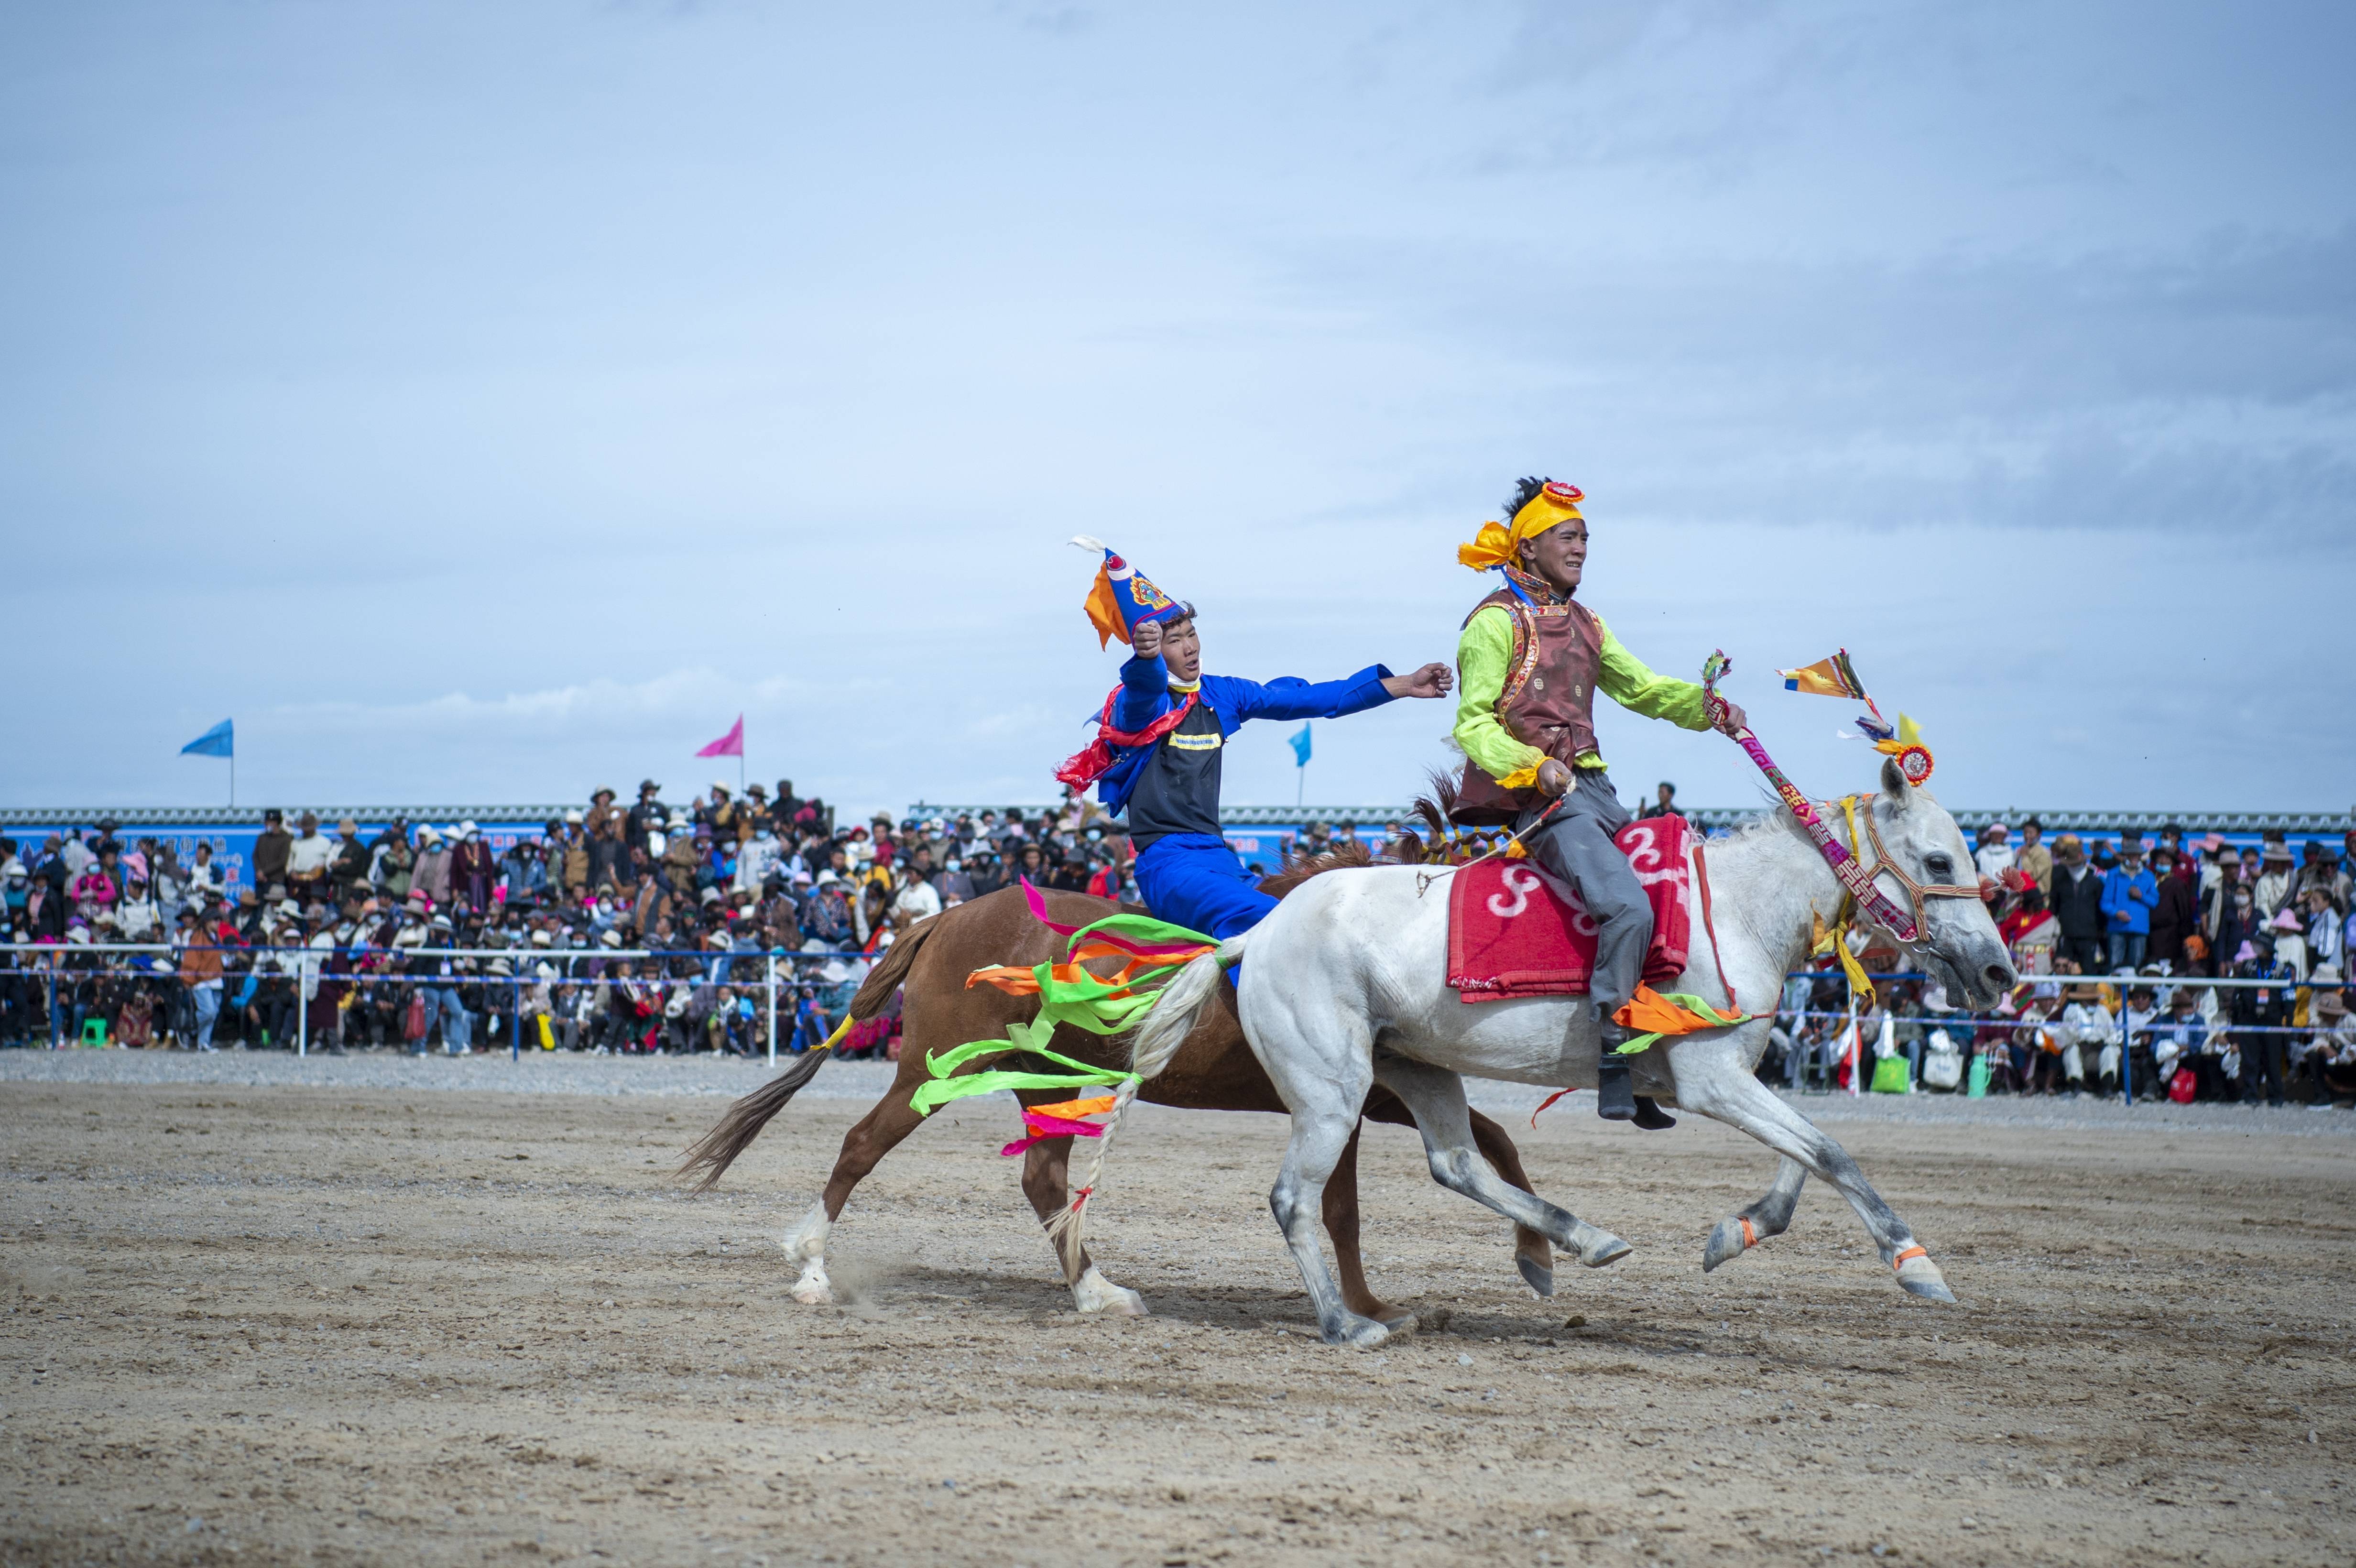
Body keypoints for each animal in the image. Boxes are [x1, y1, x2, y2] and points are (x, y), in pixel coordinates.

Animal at [674, 871, 1555, 1328]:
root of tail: (945, 917)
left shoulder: (1355, 1101)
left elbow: (1379, 1192)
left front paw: (1381, 1302)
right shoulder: (1363, 1096)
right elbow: (1418, 1175)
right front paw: (1531, 1257)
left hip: (1046, 1078)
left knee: (1042, 1181)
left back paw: (1095, 1290)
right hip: (934, 1067)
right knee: (862, 1146)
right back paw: (813, 1269)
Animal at [1131, 758, 2017, 1347]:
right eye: (1939, 859)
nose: (1998, 971)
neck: (1733, 909)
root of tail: (1254, 935)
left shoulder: (1729, 1077)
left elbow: (1802, 1155)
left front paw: (1739, 1231)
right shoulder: (1712, 1081)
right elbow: (1829, 1151)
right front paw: (1914, 1263)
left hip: (1414, 1068)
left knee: (1459, 1165)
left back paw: (1579, 1238)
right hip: (1330, 1092)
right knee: (1294, 1198)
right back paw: (1346, 1325)